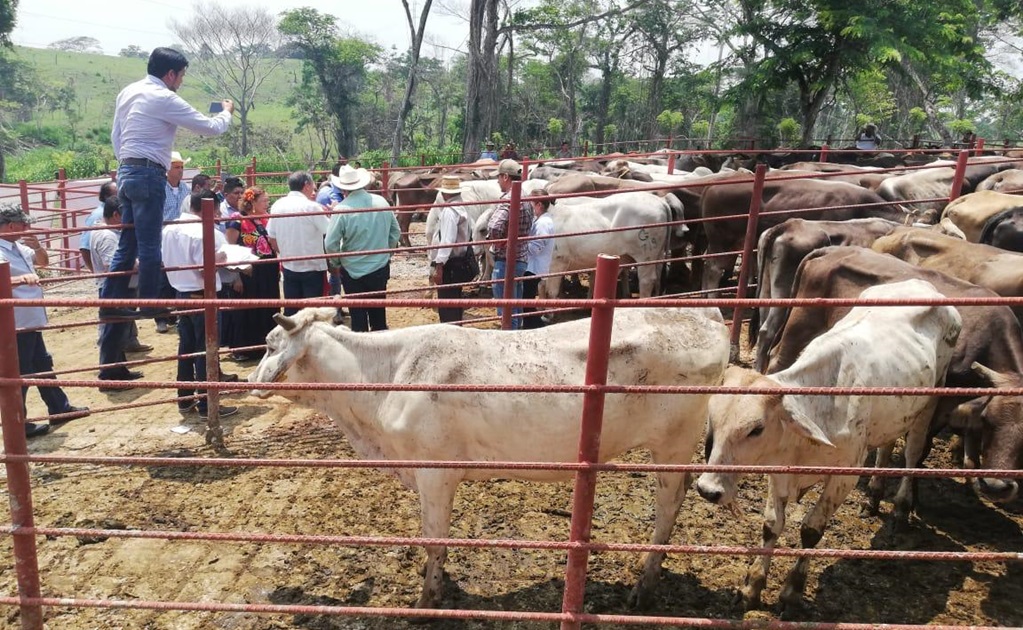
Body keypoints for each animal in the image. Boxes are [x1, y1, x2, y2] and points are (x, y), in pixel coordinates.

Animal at [248, 304, 732, 609]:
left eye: (270, 345)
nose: (251, 381)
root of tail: (703, 313)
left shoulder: (434, 472)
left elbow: (434, 536)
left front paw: (428, 598)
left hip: (672, 444)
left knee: (669, 505)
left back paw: (643, 587)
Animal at [695, 282, 957, 613]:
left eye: (756, 429)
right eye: (713, 421)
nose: (708, 489)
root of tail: (922, 284)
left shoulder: (845, 477)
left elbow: (811, 531)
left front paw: (791, 593)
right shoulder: (779, 471)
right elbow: (771, 525)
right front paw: (752, 586)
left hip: (931, 399)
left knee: (912, 453)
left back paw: (900, 508)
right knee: (887, 445)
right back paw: (873, 497)